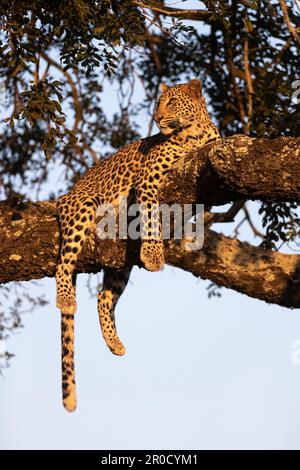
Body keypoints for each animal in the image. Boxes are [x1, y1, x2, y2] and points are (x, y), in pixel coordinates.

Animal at [55, 79, 220, 410]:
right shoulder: (148, 180)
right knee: (63, 264)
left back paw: (115, 343)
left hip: (119, 264)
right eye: (159, 103)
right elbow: (152, 216)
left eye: (171, 102)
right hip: (82, 207)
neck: (194, 132)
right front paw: (154, 254)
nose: (157, 118)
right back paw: (66, 298)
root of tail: (67, 194)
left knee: (103, 297)